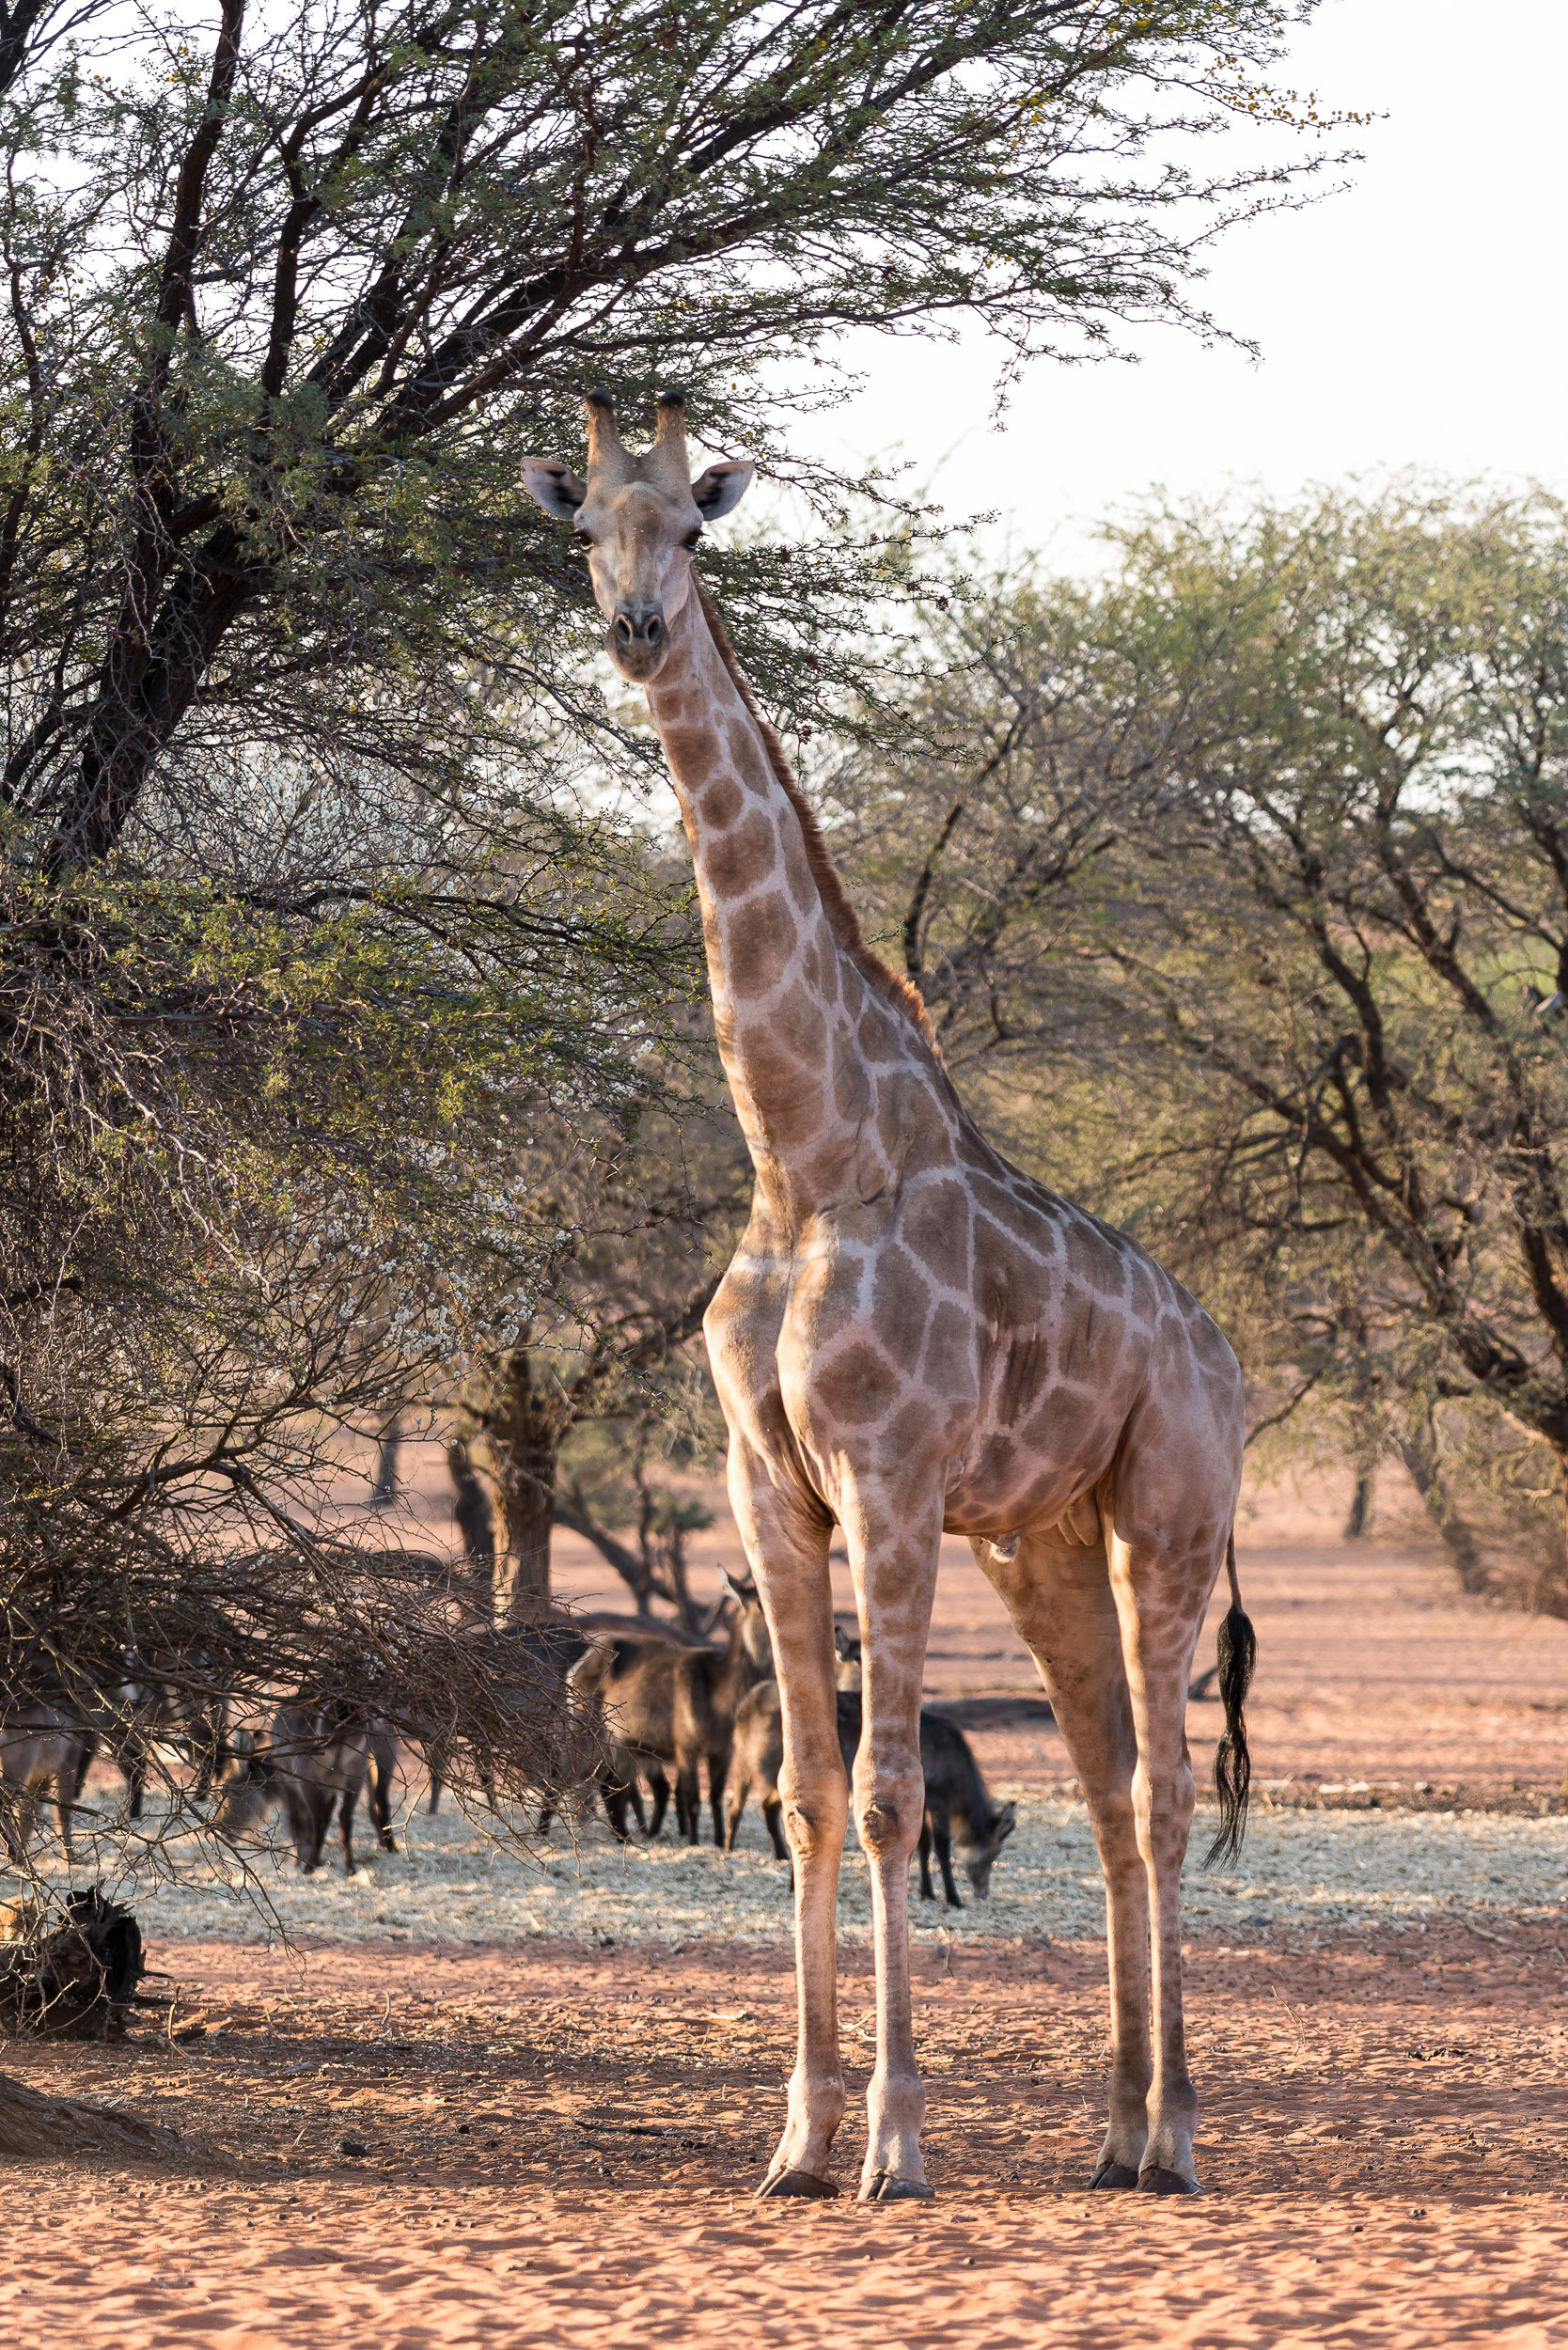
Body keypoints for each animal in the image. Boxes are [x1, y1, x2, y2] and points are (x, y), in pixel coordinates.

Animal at [521, 391, 1255, 2202]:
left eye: (692, 529)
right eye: (585, 530)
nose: (638, 627)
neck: (802, 1155)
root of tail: (1229, 1362)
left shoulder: (891, 1476)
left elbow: (886, 1800)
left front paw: (897, 2148)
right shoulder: (766, 1486)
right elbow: (796, 1794)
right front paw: (793, 2142)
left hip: (1165, 1516)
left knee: (1156, 1793)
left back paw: (1176, 2135)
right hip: (1042, 1544)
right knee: (1108, 1784)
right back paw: (1113, 2135)